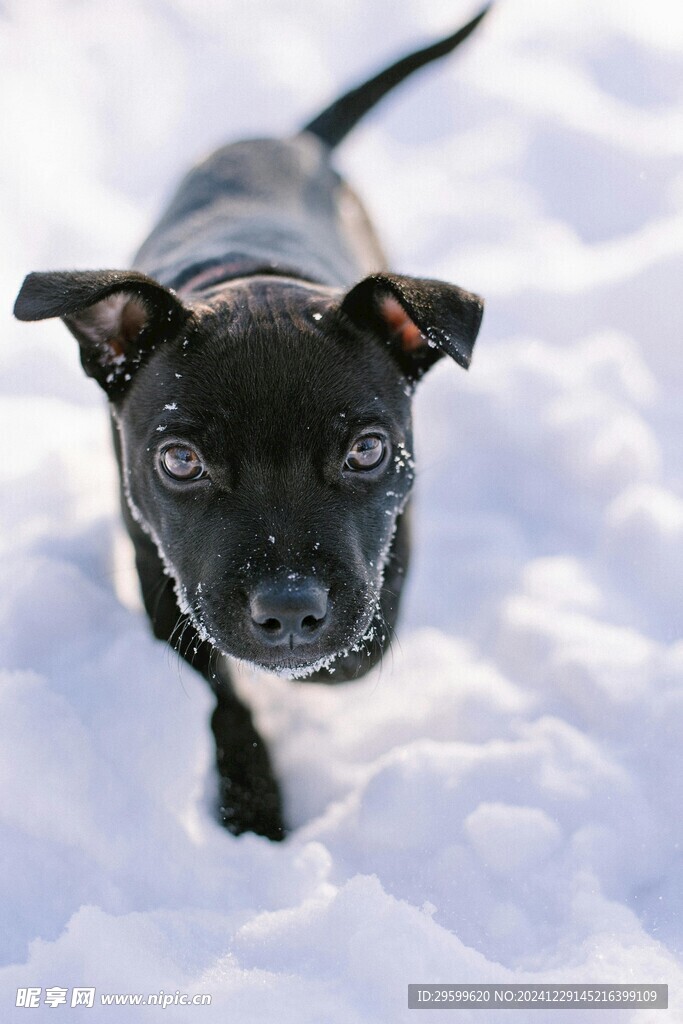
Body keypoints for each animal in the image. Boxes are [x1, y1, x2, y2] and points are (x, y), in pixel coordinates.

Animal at [13, 8, 489, 839]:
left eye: (367, 451)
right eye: (180, 461)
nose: (290, 608)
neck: (251, 280)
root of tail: (289, 142)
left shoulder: (396, 526)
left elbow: (364, 632)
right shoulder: (156, 558)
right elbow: (215, 694)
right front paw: (251, 803)